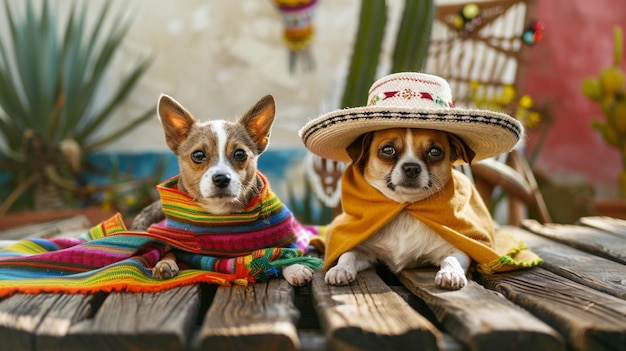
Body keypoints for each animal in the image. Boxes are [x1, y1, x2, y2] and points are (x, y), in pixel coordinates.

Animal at [132, 95, 316, 288]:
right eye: (198, 155)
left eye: (240, 154)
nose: (221, 178)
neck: (223, 215)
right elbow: (171, 250)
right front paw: (165, 263)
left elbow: (283, 250)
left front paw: (295, 267)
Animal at [324, 128, 476, 290]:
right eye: (388, 150)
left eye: (435, 152)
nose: (412, 168)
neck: (404, 209)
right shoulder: (364, 252)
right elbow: (348, 254)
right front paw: (340, 269)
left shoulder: (456, 250)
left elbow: (451, 259)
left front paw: (451, 273)